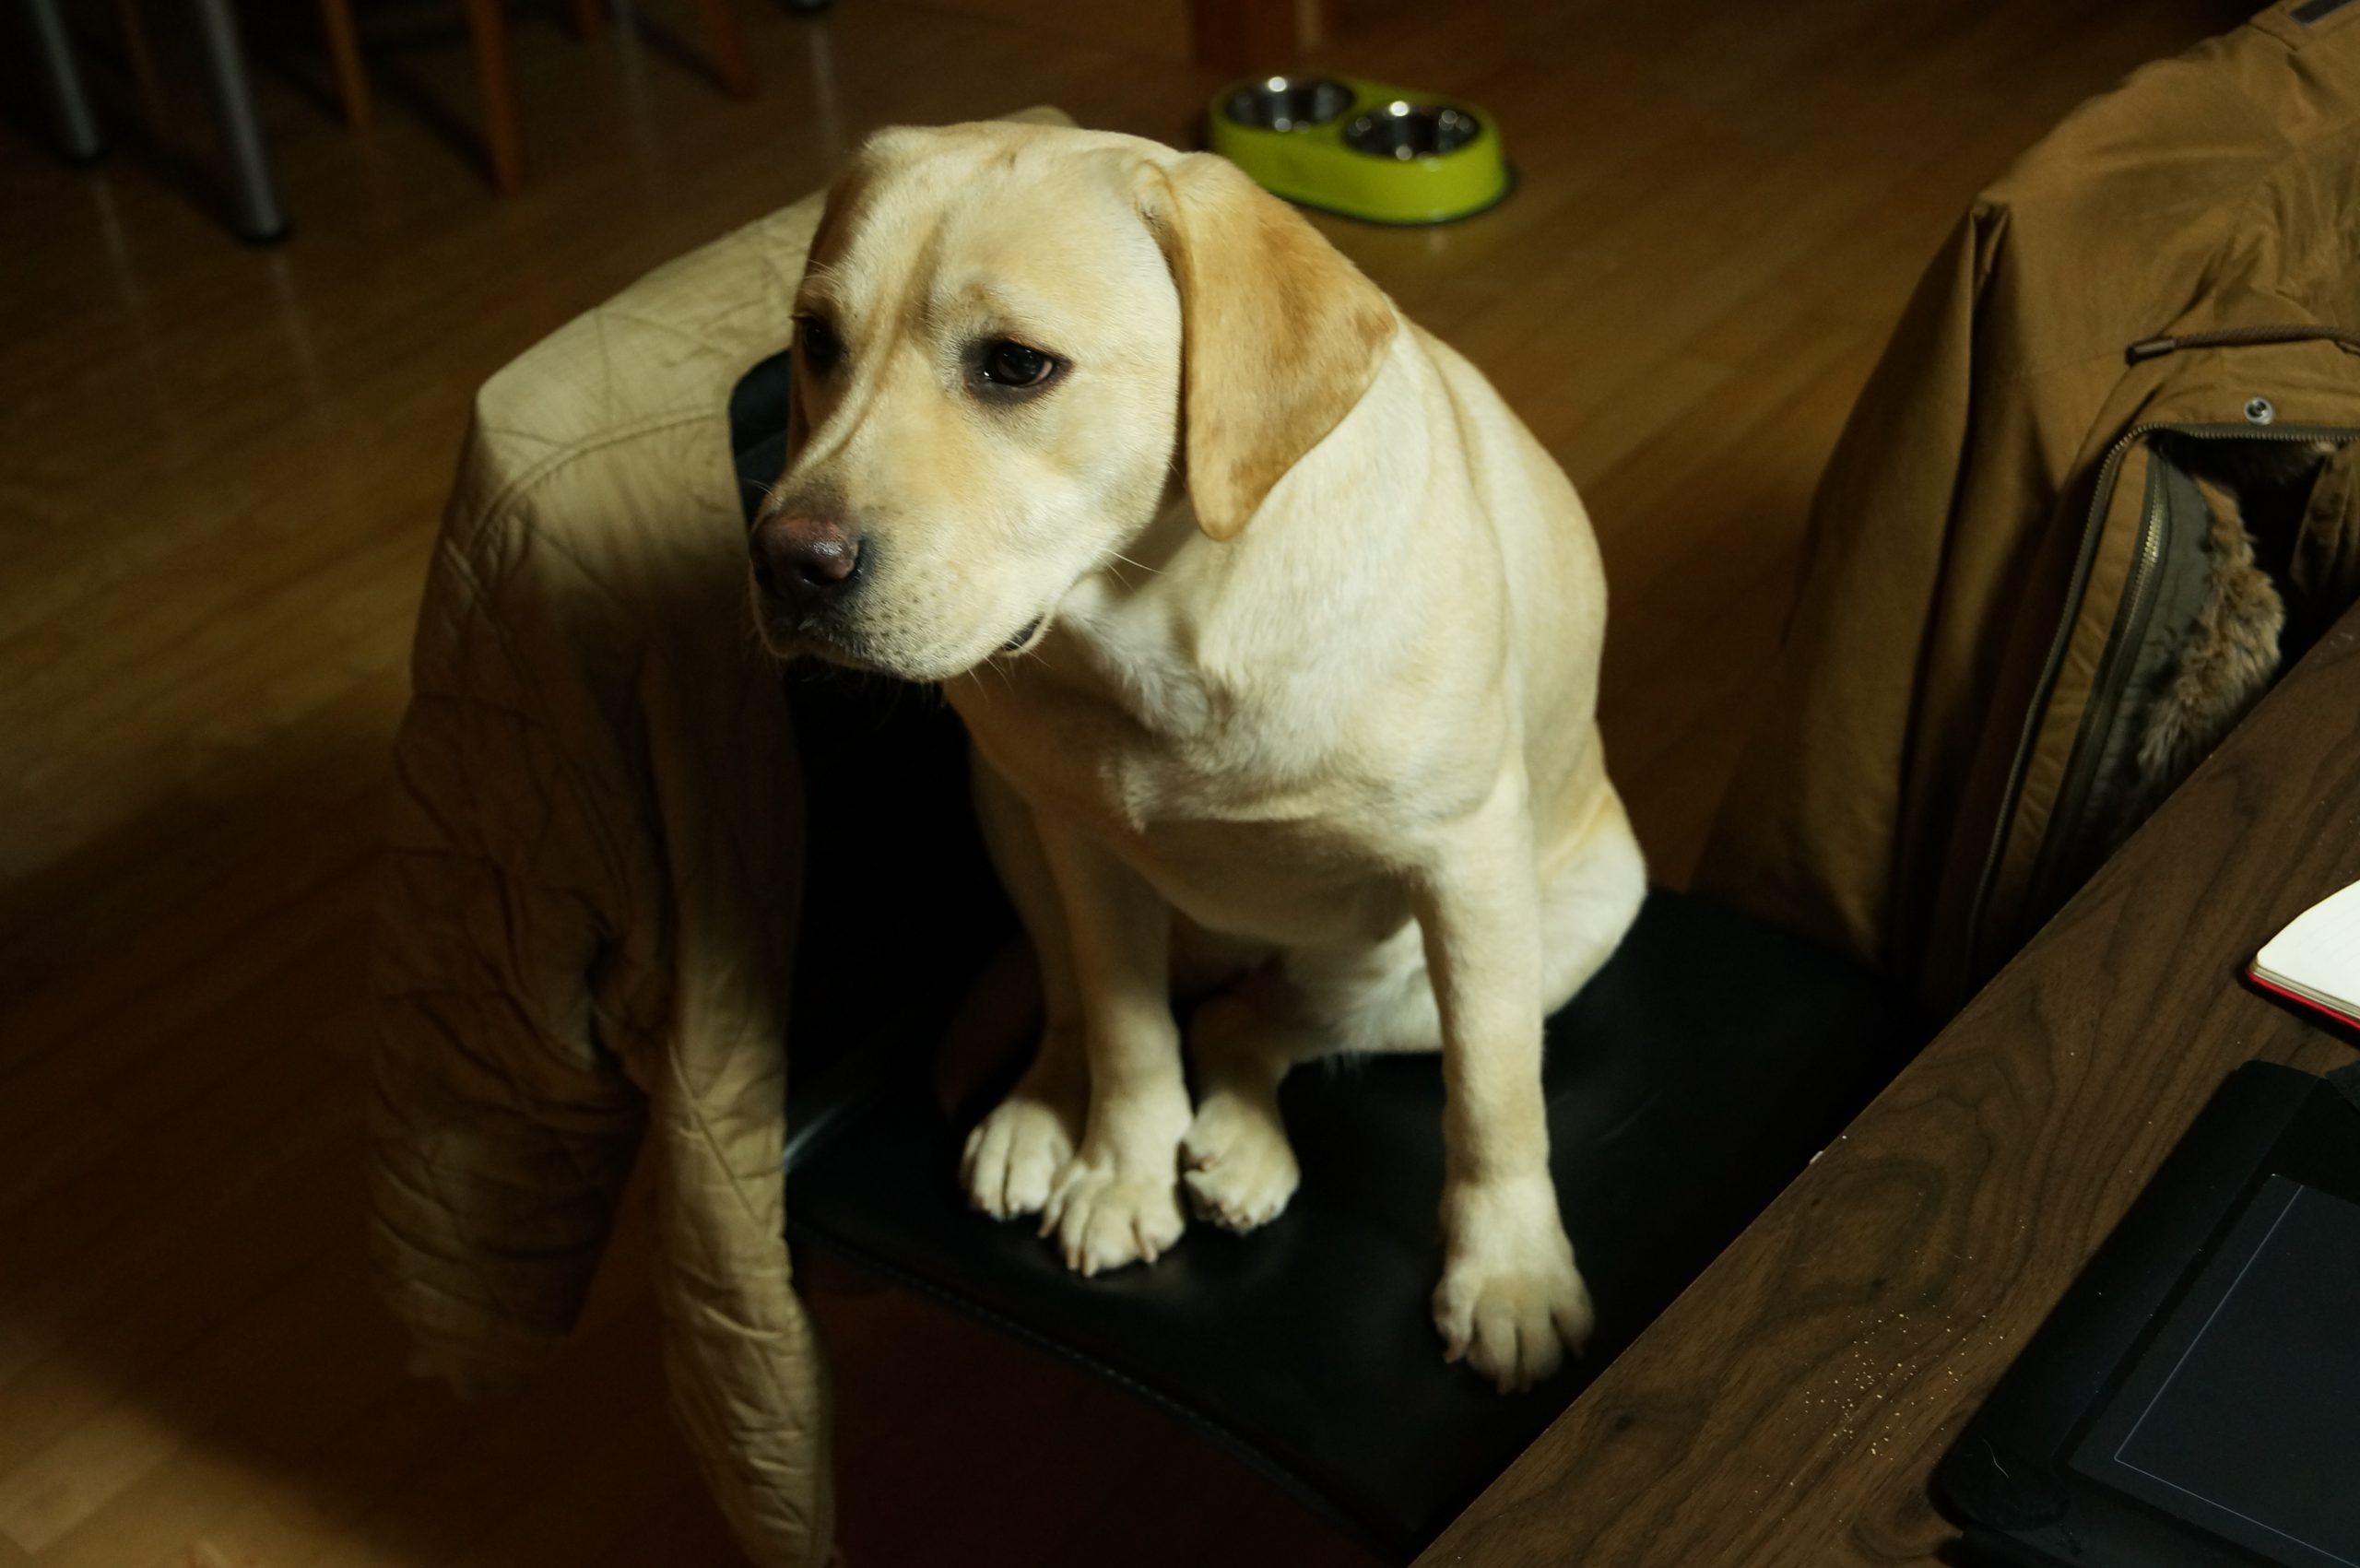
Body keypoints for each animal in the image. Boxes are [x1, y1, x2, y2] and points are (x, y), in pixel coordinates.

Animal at [750, 122, 1645, 1392]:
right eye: (816, 342)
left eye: (1014, 366)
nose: (786, 560)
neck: (1159, 630)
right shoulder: (1085, 848)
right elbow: (1125, 1032)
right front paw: (1120, 1171)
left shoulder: (1468, 871)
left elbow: (1494, 1098)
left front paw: (1511, 1273)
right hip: (1006, 811)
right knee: (1091, 1002)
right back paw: (1043, 1114)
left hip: (1566, 920)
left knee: (1258, 1025)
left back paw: (1240, 1143)